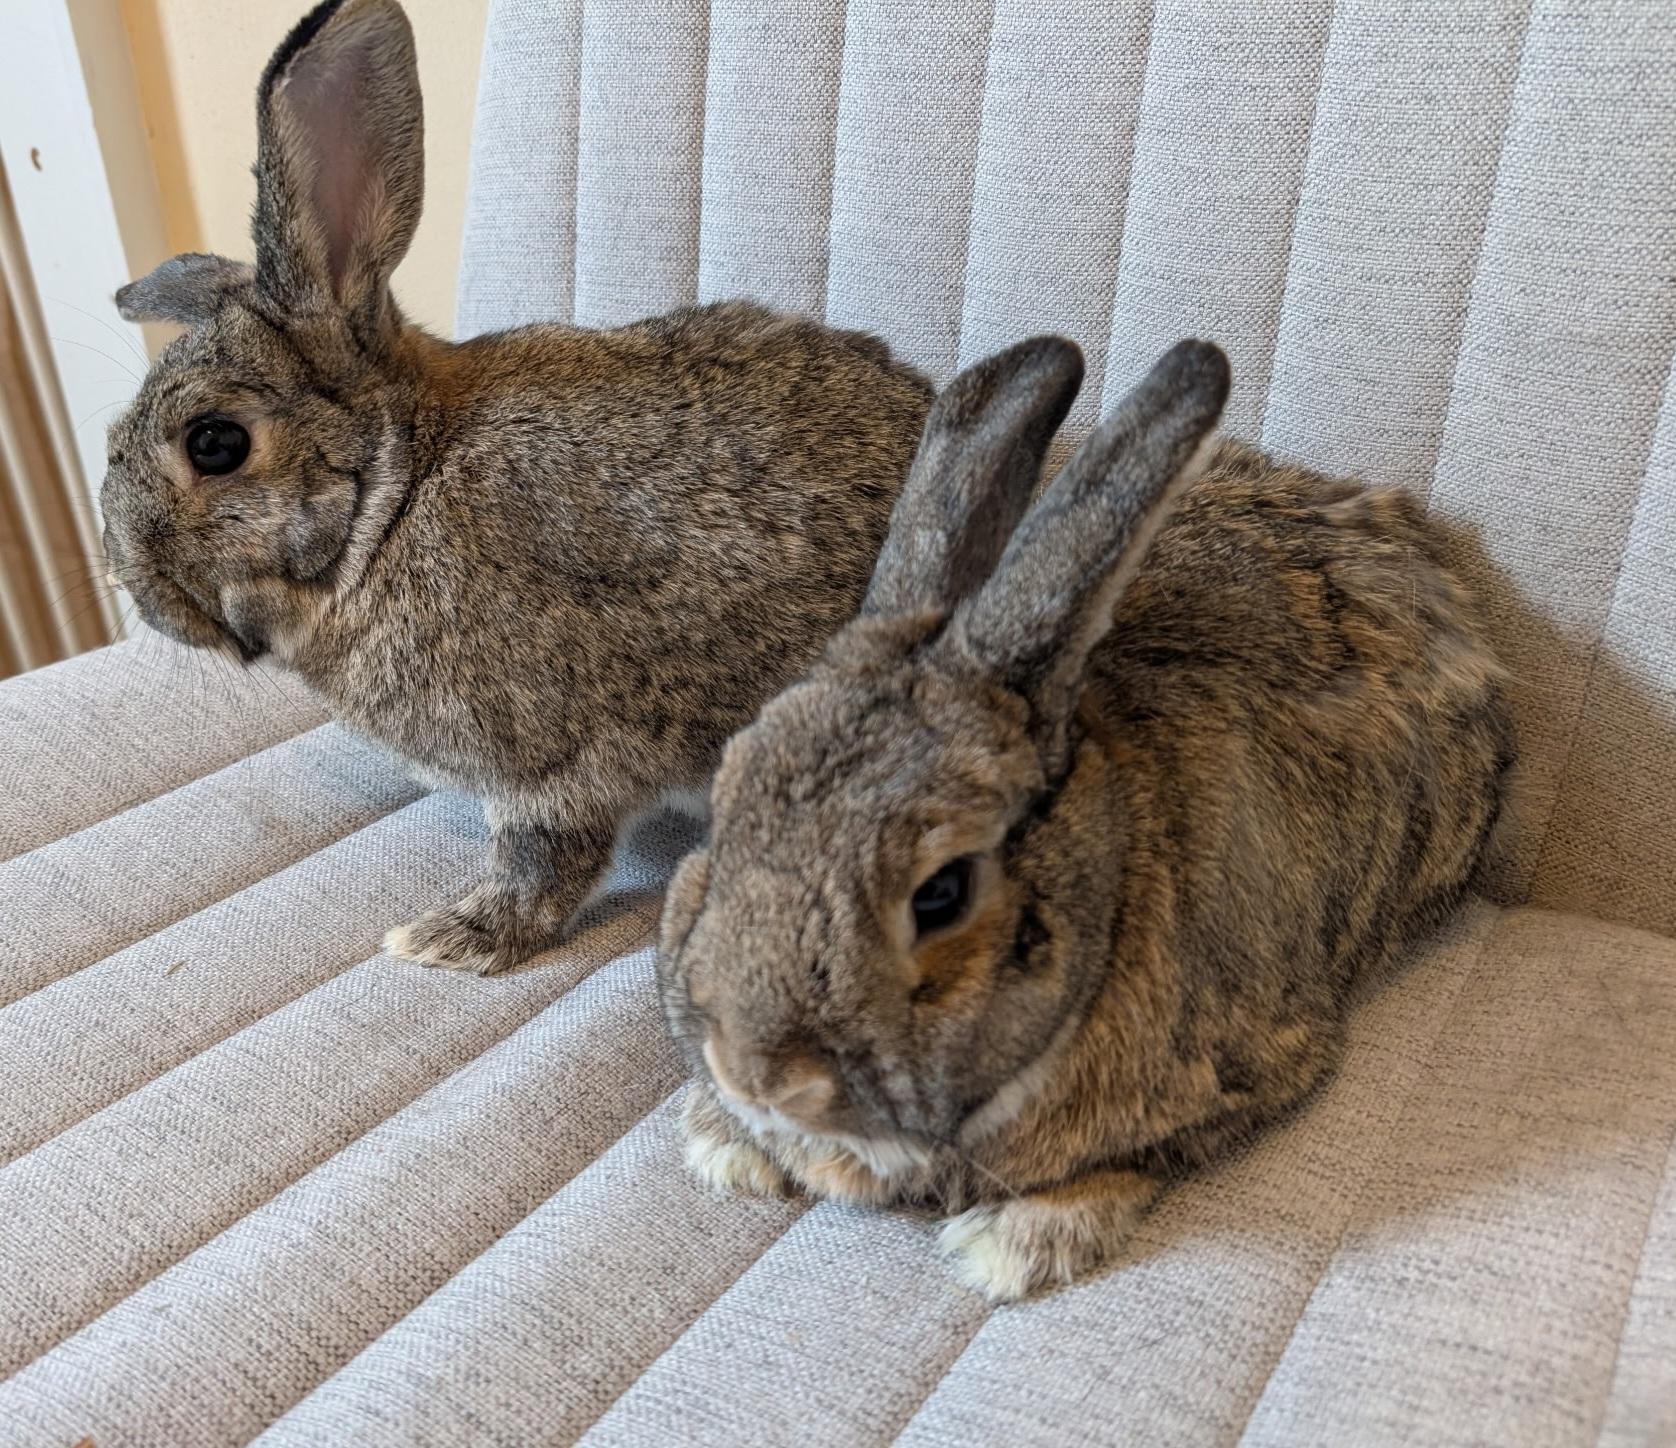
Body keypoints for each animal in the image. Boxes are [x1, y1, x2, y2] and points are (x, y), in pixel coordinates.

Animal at [99, 0, 933, 974]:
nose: (130, 582)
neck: (397, 499)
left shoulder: (548, 765)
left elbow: (544, 858)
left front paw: (453, 940)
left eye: (216, 443)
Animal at [656, 335, 1516, 1301]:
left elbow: (1138, 1162)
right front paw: (724, 1144)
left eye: (942, 893)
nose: (755, 1073)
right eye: (726, 801)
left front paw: (1011, 1245)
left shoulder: (1255, 1071)